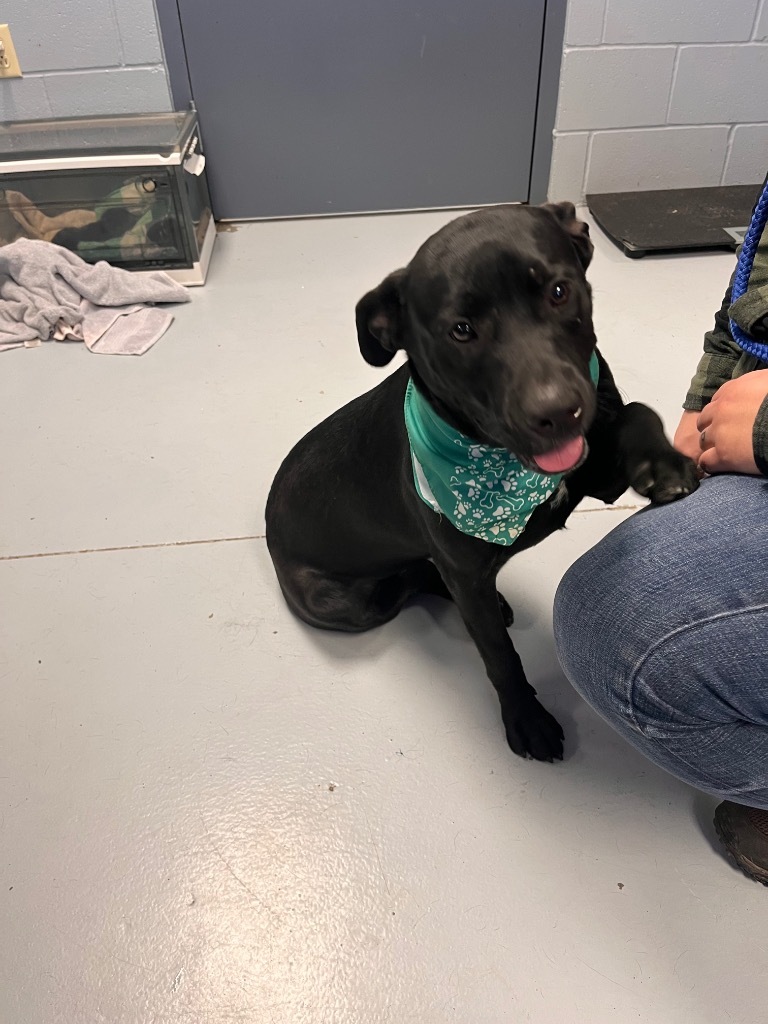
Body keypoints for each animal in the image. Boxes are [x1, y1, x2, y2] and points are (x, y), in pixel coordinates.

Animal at [268, 203, 700, 761]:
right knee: (418, 581)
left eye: (558, 291)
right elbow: (498, 654)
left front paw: (664, 462)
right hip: (350, 603)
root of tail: (268, 523)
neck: (502, 464)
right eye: (461, 329)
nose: (557, 413)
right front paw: (526, 718)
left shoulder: (592, 464)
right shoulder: (467, 570)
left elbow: (636, 413)